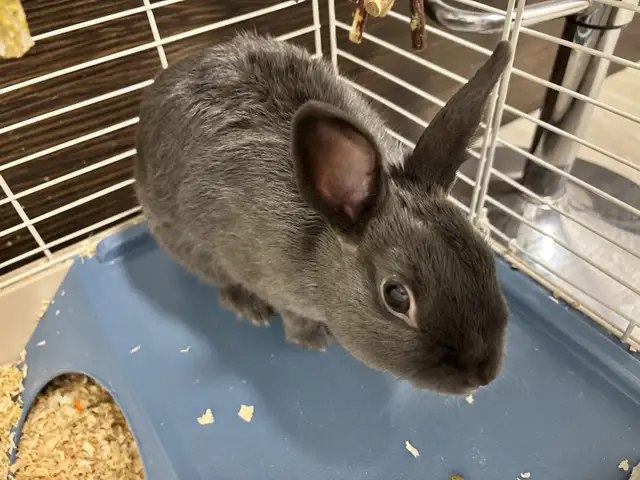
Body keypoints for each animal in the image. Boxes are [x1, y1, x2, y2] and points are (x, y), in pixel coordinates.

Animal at [135, 32, 511, 395]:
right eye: (396, 296)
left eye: (485, 256)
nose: (483, 375)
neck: (321, 243)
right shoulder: (274, 283)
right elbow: (292, 316)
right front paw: (312, 340)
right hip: (185, 241)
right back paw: (249, 307)